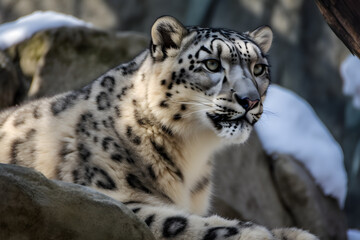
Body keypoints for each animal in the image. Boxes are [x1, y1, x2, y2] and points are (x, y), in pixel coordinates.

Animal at [0, 15, 318, 239]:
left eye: (259, 69)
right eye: (212, 64)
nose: (250, 100)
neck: (193, 151)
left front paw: (293, 234)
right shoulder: (106, 197)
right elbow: (176, 220)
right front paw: (255, 232)